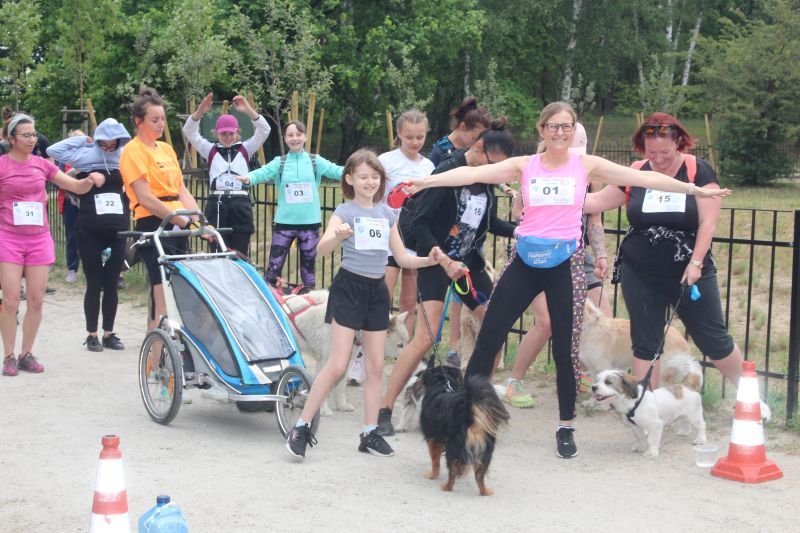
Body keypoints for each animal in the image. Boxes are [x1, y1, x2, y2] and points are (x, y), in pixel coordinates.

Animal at [276, 289, 409, 416]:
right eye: (400, 345)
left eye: (407, 342)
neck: (354, 329)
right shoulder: (326, 363)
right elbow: (322, 388)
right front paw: (323, 410)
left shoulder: (346, 363)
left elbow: (340, 388)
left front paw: (342, 406)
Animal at [419, 364, 510, 496]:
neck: (442, 385)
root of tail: (470, 416)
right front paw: (460, 473)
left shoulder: (433, 439)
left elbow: (435, 461)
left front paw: (433, 475)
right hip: (486, 451)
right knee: (479, 476)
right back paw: (485, 492)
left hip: (453, 448)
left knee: (452, 473)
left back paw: (446, 487)